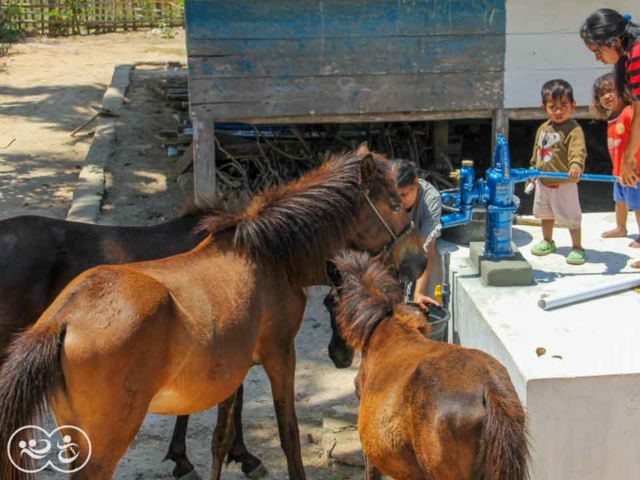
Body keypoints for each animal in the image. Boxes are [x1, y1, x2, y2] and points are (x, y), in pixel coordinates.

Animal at [0, 151, 428, 480]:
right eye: (395, 205)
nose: (419, 260)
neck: (266, 256)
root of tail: (65, 317)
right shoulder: (279, 355)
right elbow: (288, 433)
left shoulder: (231, 370)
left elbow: (220, 437)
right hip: (105, 443)